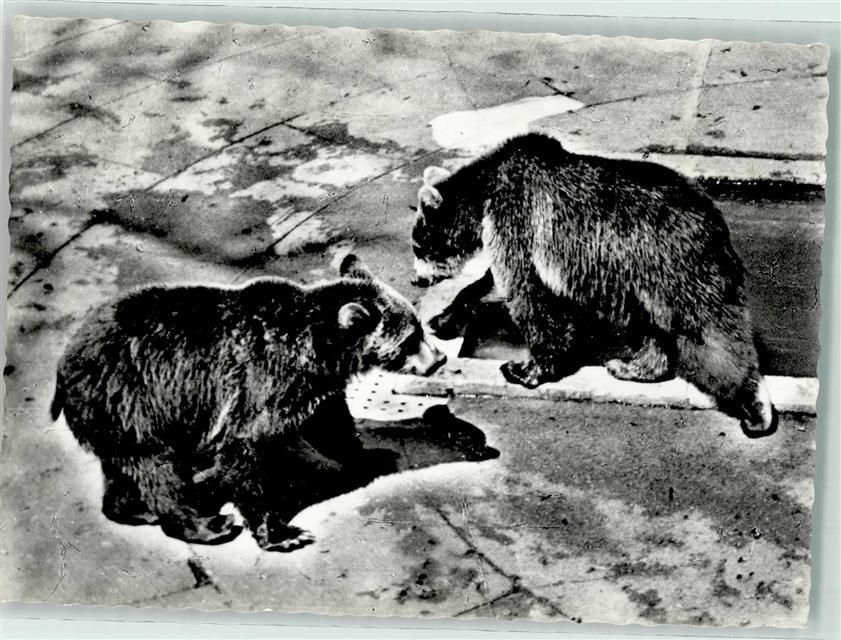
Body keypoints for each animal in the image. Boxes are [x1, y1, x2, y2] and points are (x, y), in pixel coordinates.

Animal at [50, 255, 448, 550]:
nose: (440, 358)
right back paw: (205, 524)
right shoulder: (259, 385)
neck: (316, 352)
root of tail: (62, 368)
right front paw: (283, 533)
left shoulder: (311, 389)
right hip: (138, 402)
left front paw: (371, 454)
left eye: (418, 326)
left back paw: (134, 509)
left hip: (119, 420)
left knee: (125, 467)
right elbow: (245, 452)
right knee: (160, 471)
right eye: (410, 338)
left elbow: (330, 423)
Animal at [411, 133, 777, 438]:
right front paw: (442, 318)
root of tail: (716, 219)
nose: (416, 278)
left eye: (417, 244)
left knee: (710, 330)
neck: (483, 197)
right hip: (641, 282)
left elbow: (528, 295)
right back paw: (630, 366)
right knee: (654, 328)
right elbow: (492, 285)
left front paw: (524, 368)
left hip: (676, 268)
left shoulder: (518, 219)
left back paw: (755, 409)